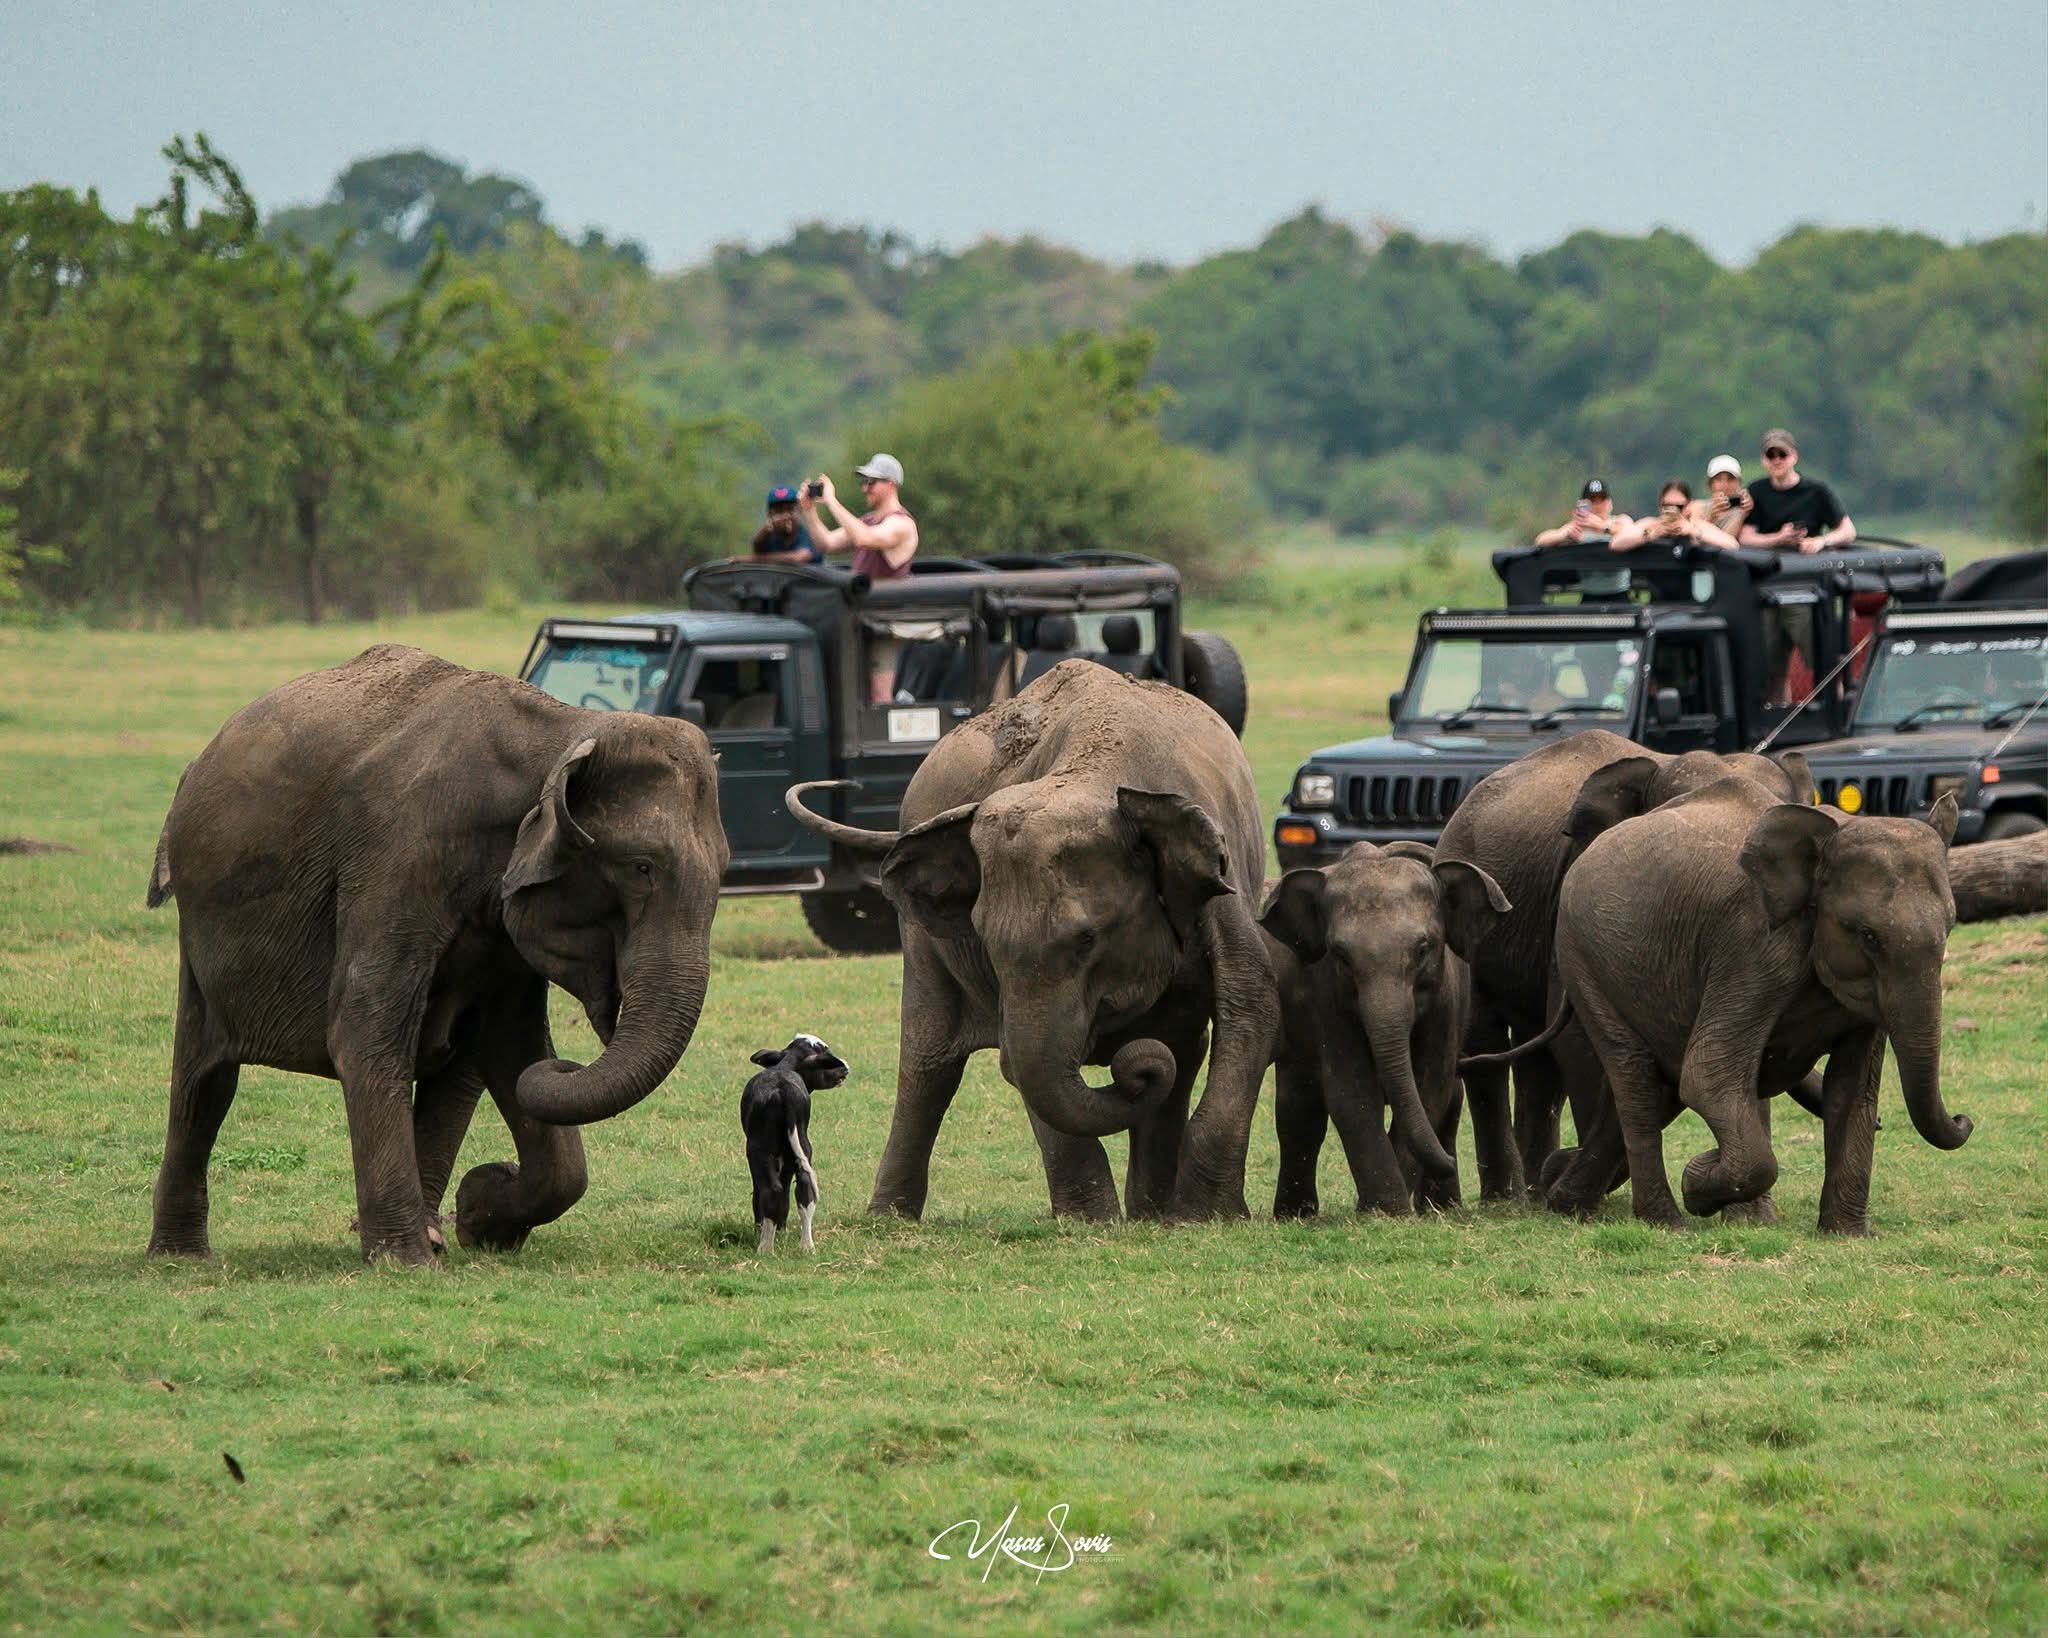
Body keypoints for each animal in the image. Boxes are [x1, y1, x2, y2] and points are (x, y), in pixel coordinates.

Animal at [146, 644, 727, 1265]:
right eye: (641, 868)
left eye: (725, 871)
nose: (571, 1059)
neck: (561, 731)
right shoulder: (398, 858)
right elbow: (366, 1030)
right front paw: (406, 1262)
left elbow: (509, 1047)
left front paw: (479, 1217)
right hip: (200, 922)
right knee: (206, 1081)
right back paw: (181, 1257)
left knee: (454, 1074)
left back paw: (432, 1230)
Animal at [785, 659, 1292, 1221]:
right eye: (987, 944)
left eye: (1089, 938)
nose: (1136, 1071)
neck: (1093, 773)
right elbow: (1020, 1062)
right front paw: (1092, 1221)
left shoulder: (1219, 882)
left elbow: (1251, 1005)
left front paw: (1201, 1217)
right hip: (917, 935)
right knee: (927, 1059)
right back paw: (889, 1217)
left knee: (1181, 1047)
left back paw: (1152, 1210)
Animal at [1259, 842, 1510, 1217]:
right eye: (1340, 955)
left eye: (1424, 948)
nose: (1452, 1163)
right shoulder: (1327, 997)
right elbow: (1352, 1091)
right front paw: (1385, 1210)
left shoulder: (1446, 1001)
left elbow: (1429, 1088)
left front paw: (1387, 1209)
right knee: (1299, 1109)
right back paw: (1295, 1214)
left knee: (1451, 1099)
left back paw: (1440, 1205)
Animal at [1434, 730, 1815, 1196]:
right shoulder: (1577, 906)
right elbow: (1577, 1041)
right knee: (1488, 1044)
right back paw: (1510, 1195)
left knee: (1538, 1064)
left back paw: (1534, 1187)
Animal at [1538, 778, 1969, 1233]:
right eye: (1868, 936)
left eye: (1949, 928)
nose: (1964, 1119)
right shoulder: (1752, 946)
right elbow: (1707, 1075)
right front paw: (1697, 1185)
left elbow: (1853, 1090)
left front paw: (1846, 1235)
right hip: (1585, 961)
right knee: (1637, 1079)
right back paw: (1664, 1221)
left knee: (1659, 1088)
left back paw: (1567, 1200)